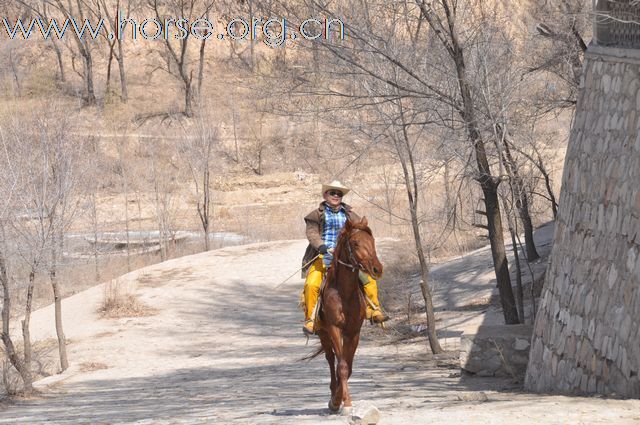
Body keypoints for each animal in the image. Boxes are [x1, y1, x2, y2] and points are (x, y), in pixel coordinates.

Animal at [312, 217, 382, 410]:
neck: (344, 293)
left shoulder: (353, 331)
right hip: (323, 332)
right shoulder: (334, 328)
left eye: (372, 240)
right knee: (330, 359)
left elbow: (347, 367)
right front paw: (340, 402)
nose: (377, 269)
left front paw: (342, 398)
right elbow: (341, 366)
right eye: (356, 243)